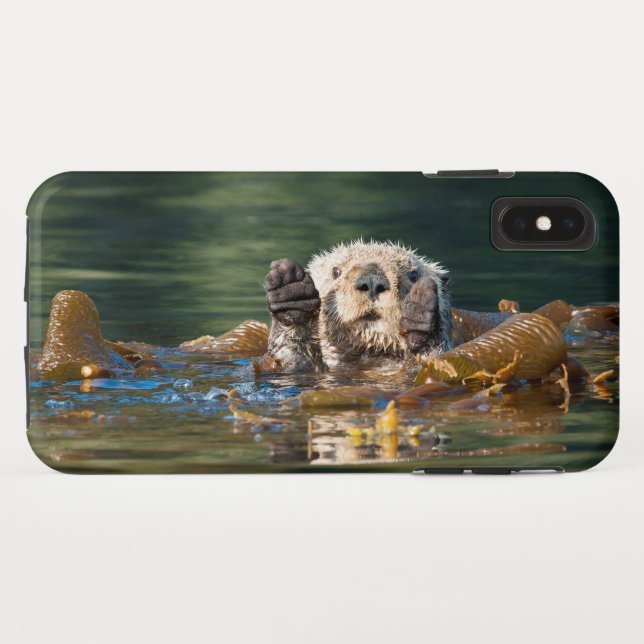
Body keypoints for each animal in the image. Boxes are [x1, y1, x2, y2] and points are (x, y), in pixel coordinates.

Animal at [264, 240, 453, 371]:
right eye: (336, 271)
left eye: (414, 275)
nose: (372, 279)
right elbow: (292, 357)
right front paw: (291, 291)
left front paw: (419, 313)